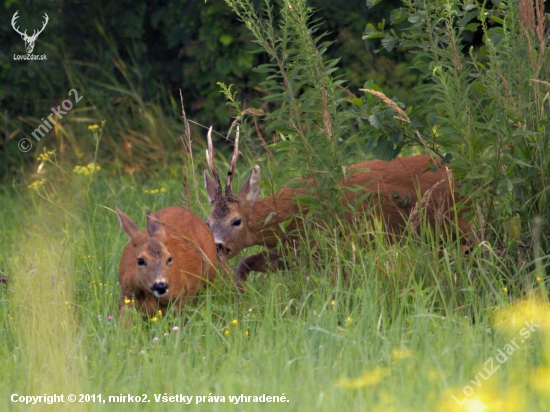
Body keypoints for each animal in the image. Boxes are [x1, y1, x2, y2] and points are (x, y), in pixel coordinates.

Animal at [205, 127, 472, 292]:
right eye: (208, 222)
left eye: (236, 220)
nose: (217, 247)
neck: (287, 215)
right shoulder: (296, 252)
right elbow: (245, 264)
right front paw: (241, 296)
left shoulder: (331, 245)